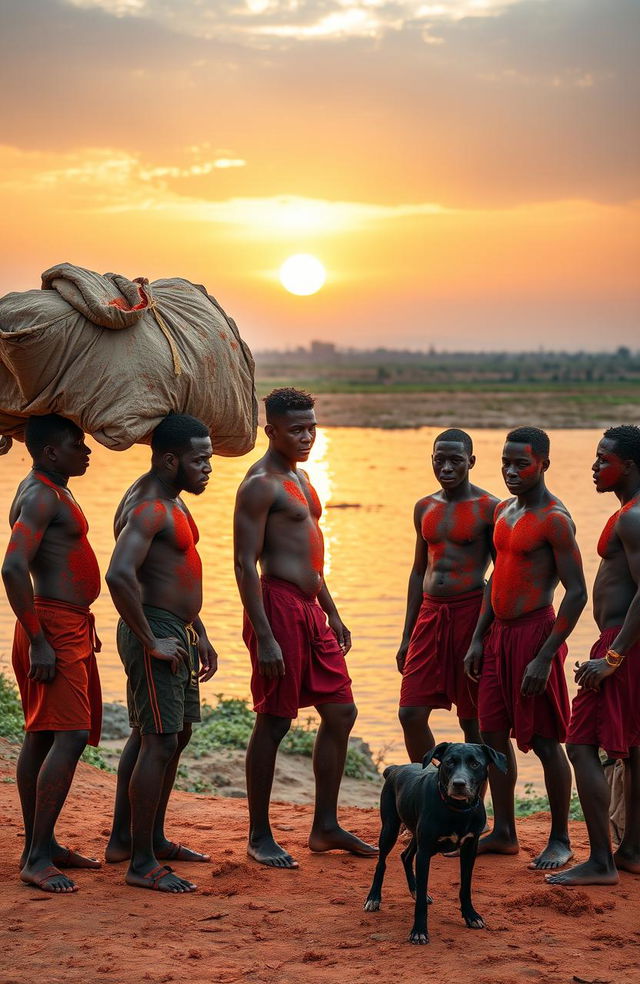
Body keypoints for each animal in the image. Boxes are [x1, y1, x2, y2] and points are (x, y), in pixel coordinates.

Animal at [364, 740, 504, 940]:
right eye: (449, 762)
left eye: (475, 764)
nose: (459, 784)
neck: (456, 810)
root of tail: (395, 768)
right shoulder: (424, 853)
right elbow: (422, 898)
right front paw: (419, 930)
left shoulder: (469, 848)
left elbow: (466, 886)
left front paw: (470, 915)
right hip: (390, 828)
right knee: (381, 863)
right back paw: (374, 898)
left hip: (416, 834)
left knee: (405, 856)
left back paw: (414, 890)